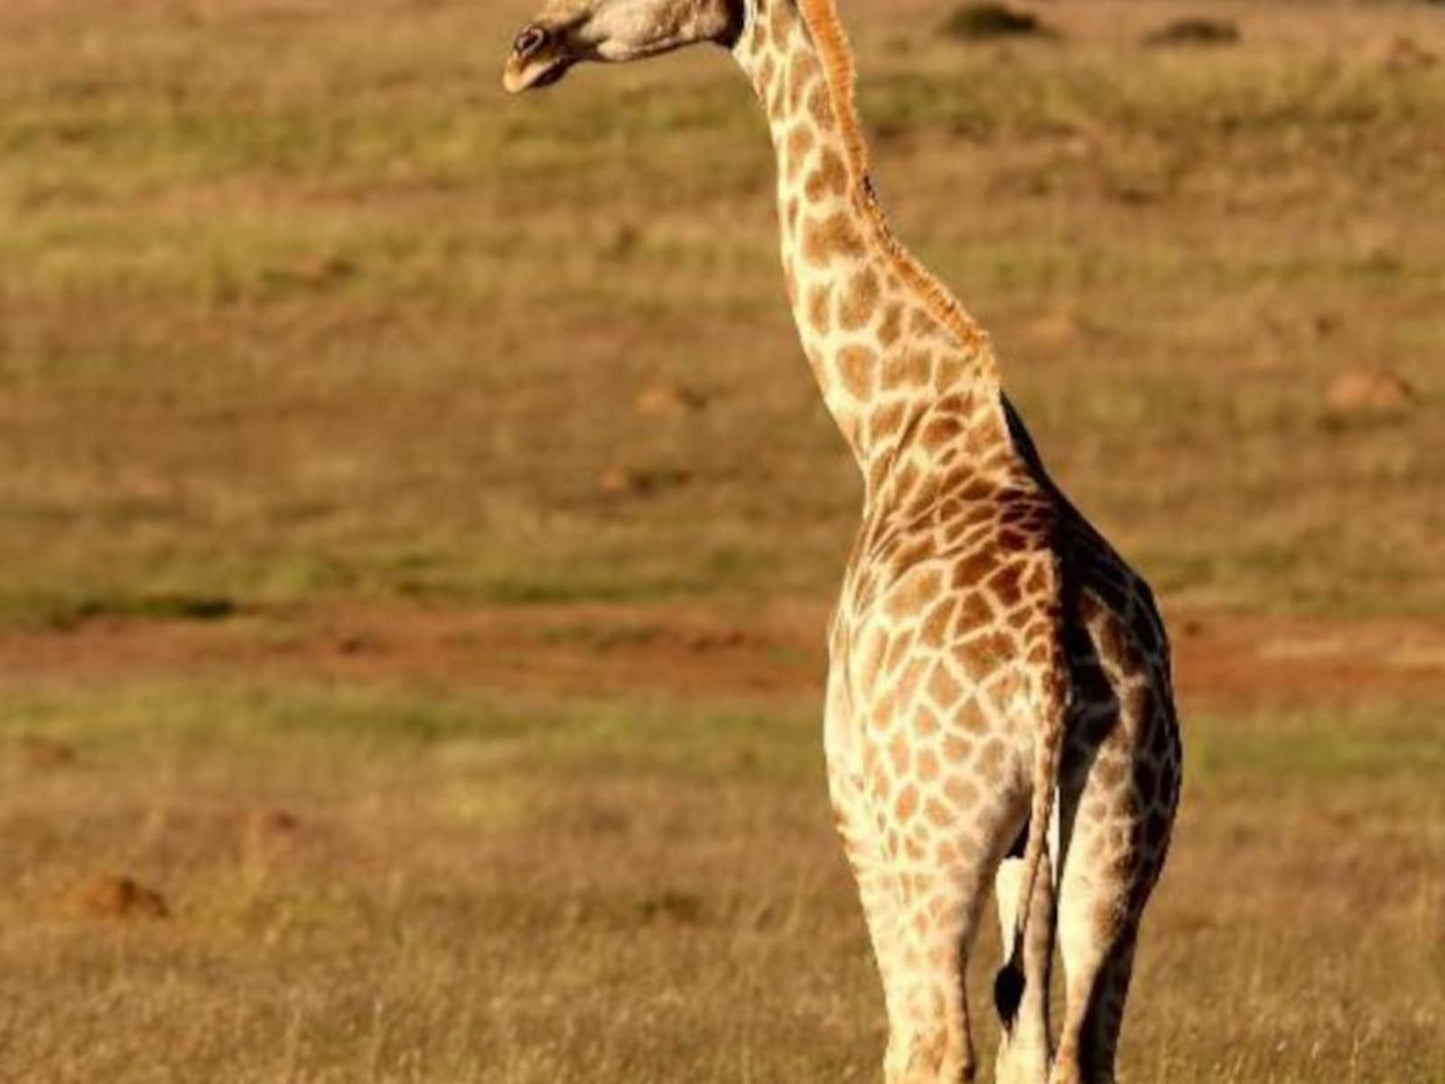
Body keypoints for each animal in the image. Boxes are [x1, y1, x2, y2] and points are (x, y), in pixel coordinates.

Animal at [502, 4, 1179, 1081]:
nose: (526, 48)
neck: (894, 422)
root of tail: (1050, 663)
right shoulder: (1024, 844)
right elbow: (1029, 1040)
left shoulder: (852, 799)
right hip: (1120, 829)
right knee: (1078, 1043)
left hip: (932, 829)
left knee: (935, 1036)